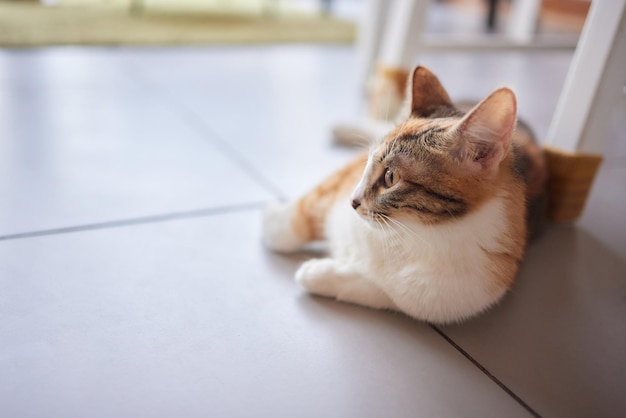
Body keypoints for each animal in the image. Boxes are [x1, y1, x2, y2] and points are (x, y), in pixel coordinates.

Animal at [260, 67, 544, 324]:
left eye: (390, 178)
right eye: (368, 163)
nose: (353, 201)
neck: (411, 232)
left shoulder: (439, 297)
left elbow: (377, 290)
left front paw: (319, 273)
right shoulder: (345, 179)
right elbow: (313, 203)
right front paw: (274, 227)